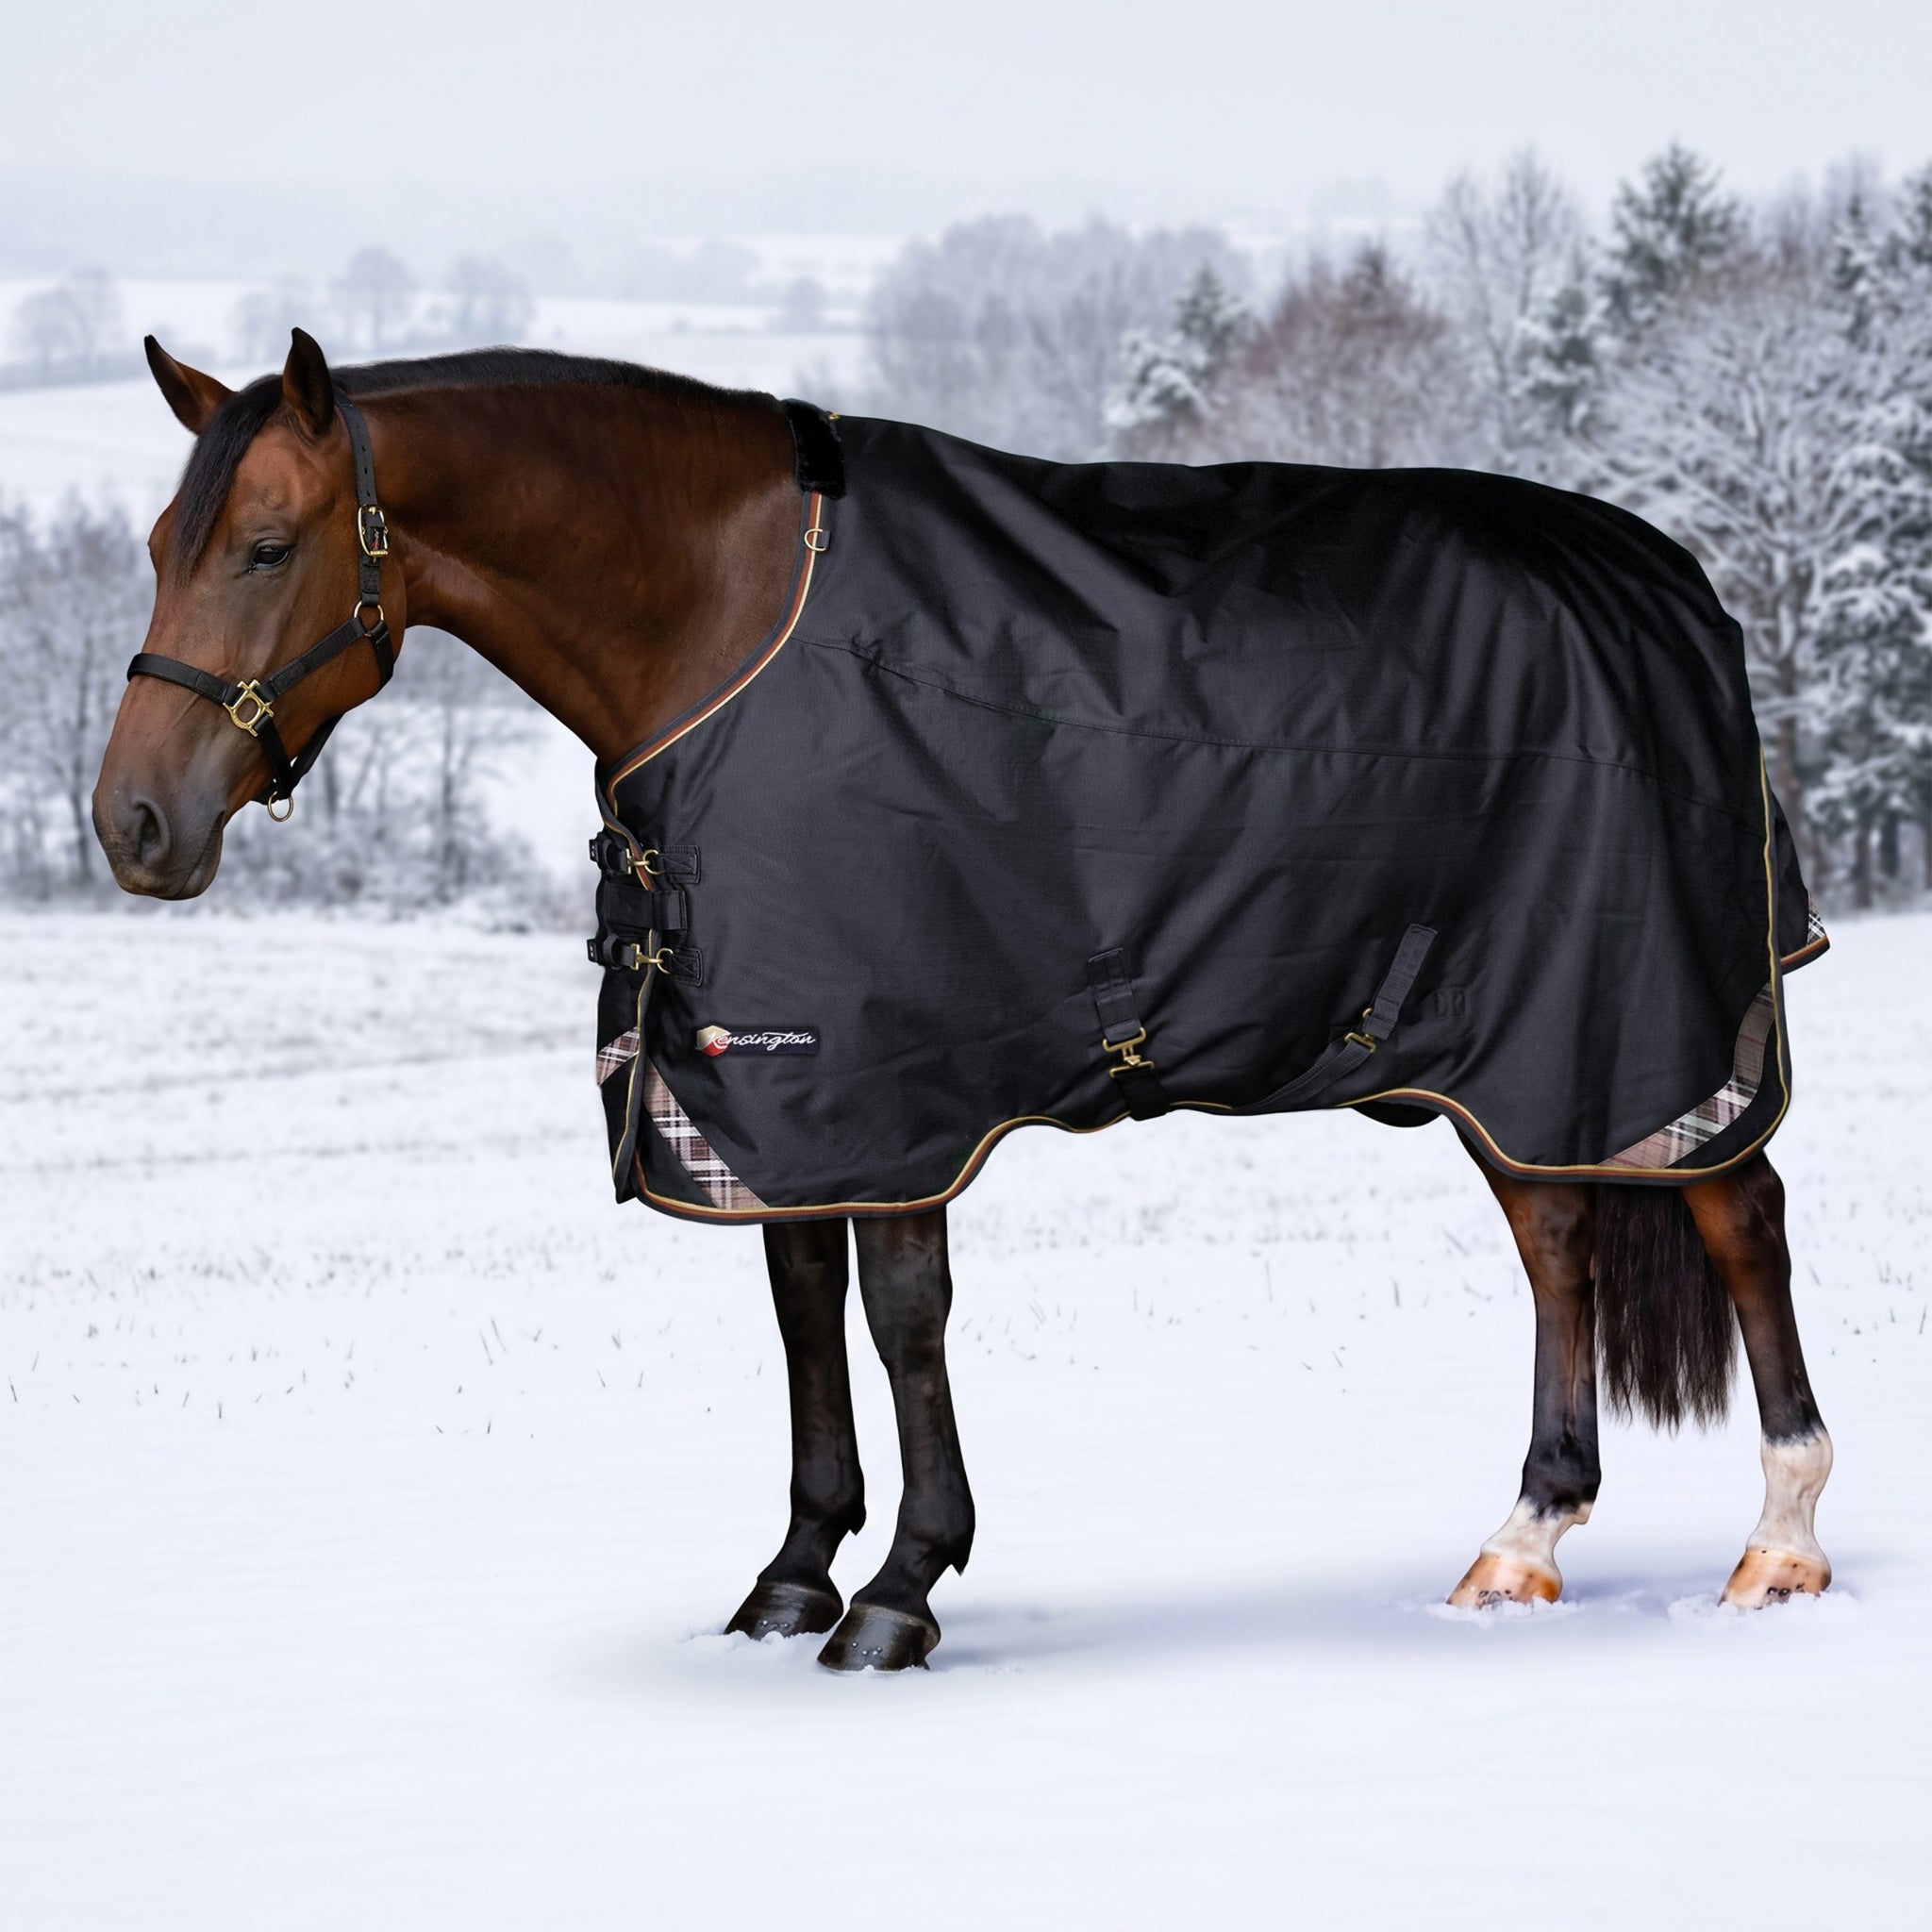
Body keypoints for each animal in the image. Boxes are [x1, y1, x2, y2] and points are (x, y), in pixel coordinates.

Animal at [93, 329, 1835, 1672]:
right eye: (161, 548)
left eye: (265, 546)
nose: (131, 826)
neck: (728, 617)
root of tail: (1664, 577)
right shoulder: (764, 1086)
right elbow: (802, 1312)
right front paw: (789, 1580)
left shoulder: (899, 1074)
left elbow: (900, 1315)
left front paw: (899, 1593)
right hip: (1505, 1045)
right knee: (1558, 1235)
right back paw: (1521, 1542)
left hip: (1642, 1013)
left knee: (1737, 1213)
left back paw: (1778, 1544)